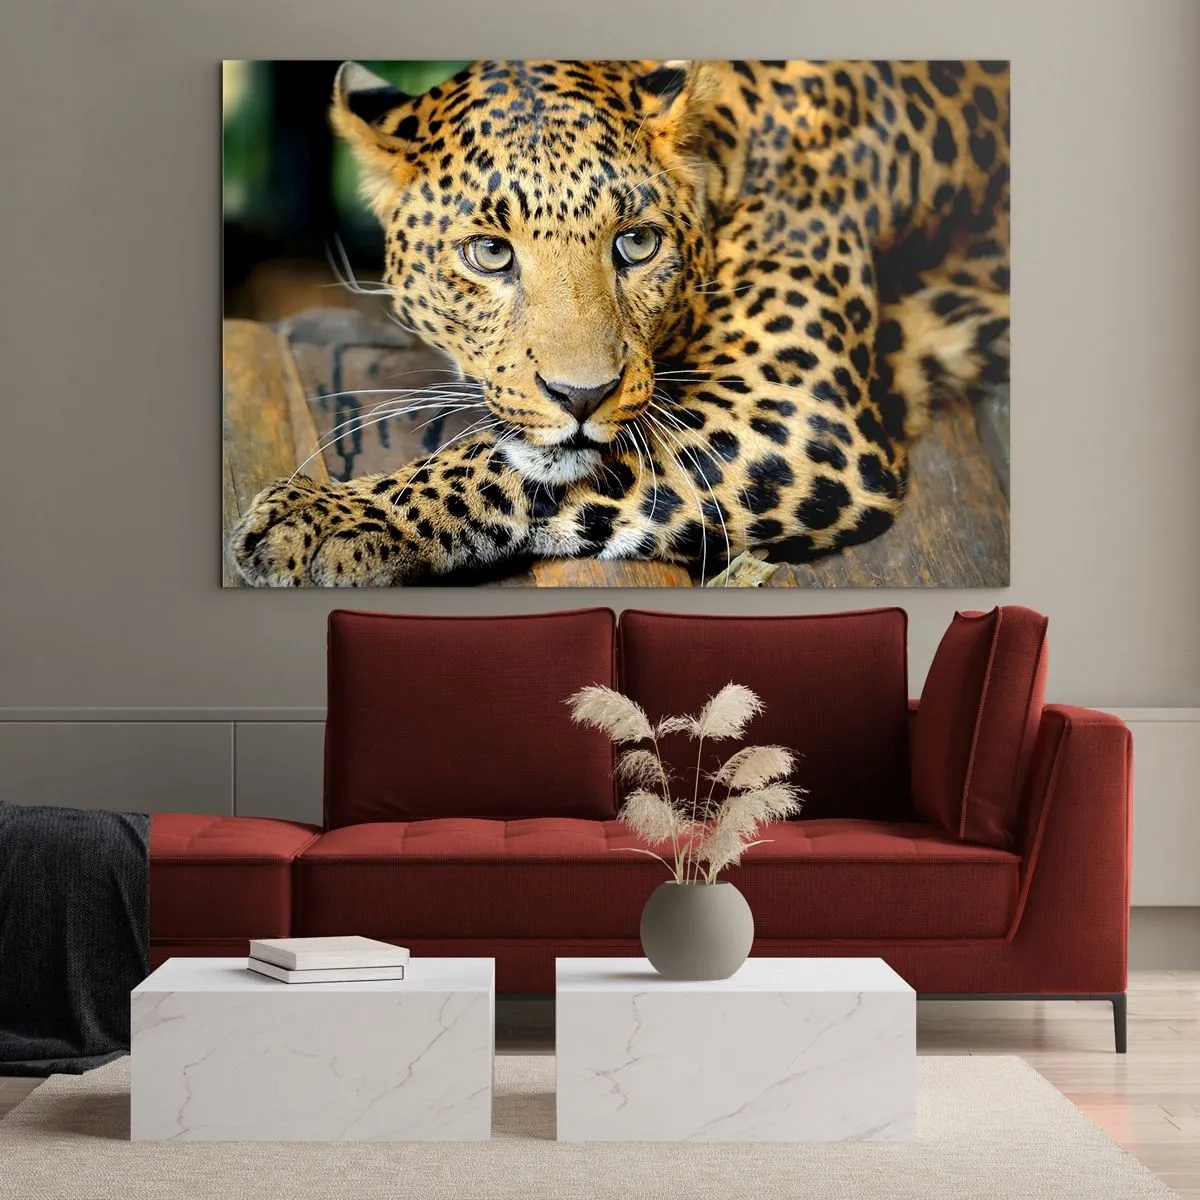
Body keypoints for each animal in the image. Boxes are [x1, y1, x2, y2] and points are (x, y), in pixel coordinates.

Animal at [231, 58, 1010, 586]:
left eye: (636, 243)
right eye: (490, 253)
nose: (582, 396)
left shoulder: (798, 414)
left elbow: (507, 462)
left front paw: (336, 518)